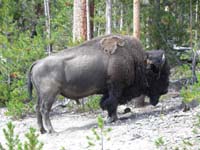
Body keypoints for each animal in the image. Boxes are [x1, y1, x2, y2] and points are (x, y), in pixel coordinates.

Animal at [27, 34, 170, 133]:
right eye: (162, 74)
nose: (166, 90)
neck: (136, 59)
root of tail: (37, 62)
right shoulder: (116, 87)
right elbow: (112, 102)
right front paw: (113, 119)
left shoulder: (109, 90)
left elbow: (107, 103)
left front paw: (112, 118)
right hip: (50, 94)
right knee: (45, 109)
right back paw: (52, 130)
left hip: (41, 95)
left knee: (37, 108)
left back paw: (42, 130)